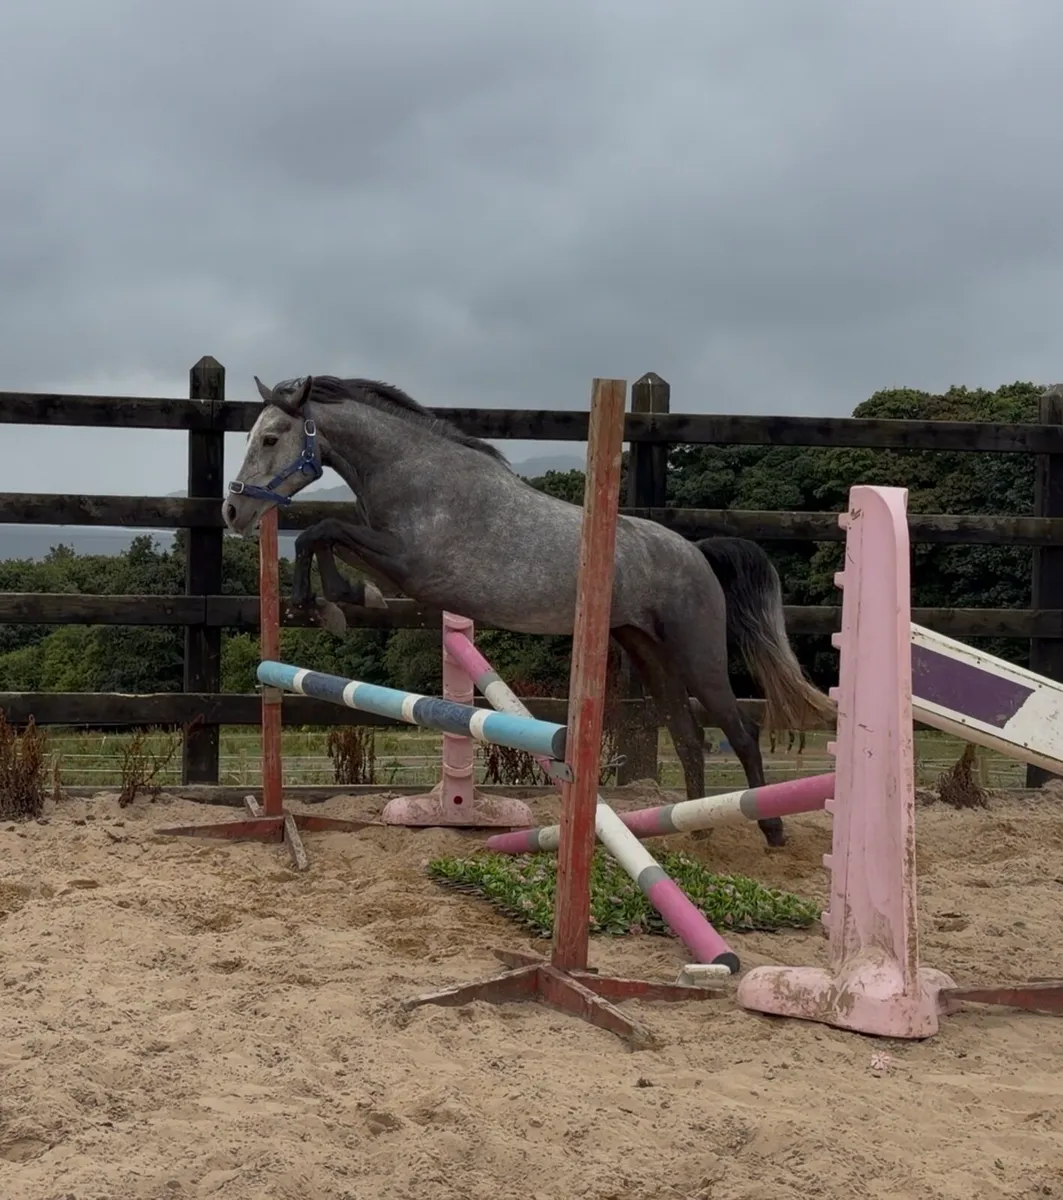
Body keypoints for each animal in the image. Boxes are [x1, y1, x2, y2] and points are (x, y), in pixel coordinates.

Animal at [223, 374, 836, 846]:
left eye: (271, 438)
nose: (233, 511)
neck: (416, 473)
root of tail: (697, 553)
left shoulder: (410, 563)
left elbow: (321, 530)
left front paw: (332, 603)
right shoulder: (391, 558)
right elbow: (324, 537)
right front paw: (337, 602)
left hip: (696, 653)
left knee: (740, 731)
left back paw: (772, 829)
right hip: (647, 651)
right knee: (688, 736)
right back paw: (697, 826)